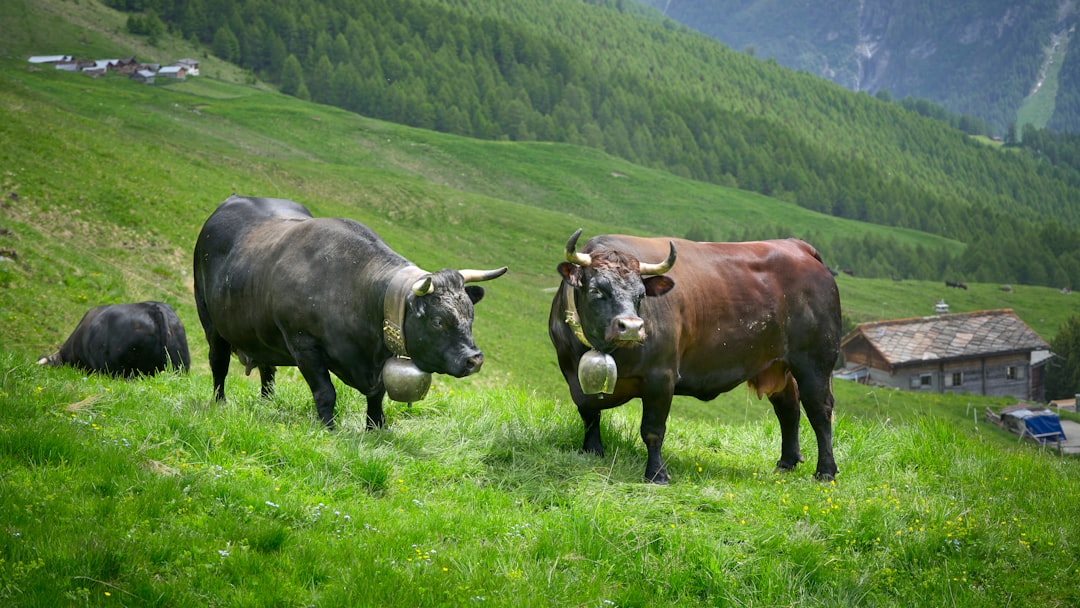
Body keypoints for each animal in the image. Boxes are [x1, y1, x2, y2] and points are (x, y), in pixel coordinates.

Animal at [193, 195, 505, 427]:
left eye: (470, 316)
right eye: (438, 321)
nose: (475, 359)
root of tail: (235, 199)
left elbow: (377, 396)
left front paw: (375, 429)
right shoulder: (304, 345)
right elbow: (325, 393)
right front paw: (328, 430)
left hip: (261, 337)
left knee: (267, 372)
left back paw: (267, 404)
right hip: (211, 324)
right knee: (218, 365)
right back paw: (220, 404)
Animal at [548, 230, 842, 485]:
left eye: (641, 294)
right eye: (597, 290)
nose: (631, 327)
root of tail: (797, 247)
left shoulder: (661, 377)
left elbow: (652, 430)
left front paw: (657, 475)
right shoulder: (572, 375)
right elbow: (589, 415)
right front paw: (593, 450)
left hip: (815, 362)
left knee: (819, 410)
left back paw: (825, 471)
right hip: (777, 365)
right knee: (788, 407)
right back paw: (787, 463)